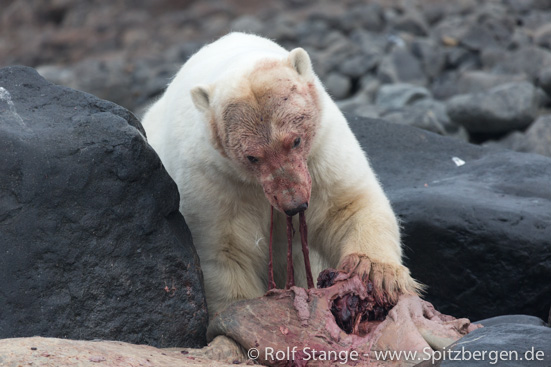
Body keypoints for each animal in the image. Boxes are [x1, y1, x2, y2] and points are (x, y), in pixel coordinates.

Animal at [143, 32, 422, 320]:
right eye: (252, 157)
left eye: (295, 140)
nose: (294, 203)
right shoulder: (214, 180)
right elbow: (226, 251)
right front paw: (244, 312)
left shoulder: (322, 152)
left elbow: (348, 207)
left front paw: (377, 274)